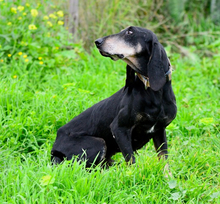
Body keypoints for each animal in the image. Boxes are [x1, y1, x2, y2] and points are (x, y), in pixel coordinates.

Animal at [50, 25, 176, 169]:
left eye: (130, 32)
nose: (97, 42)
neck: (153, 92)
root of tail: (54, 149)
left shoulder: (160, 130)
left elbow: (164, 159)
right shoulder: (119, 128)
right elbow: (131, 160)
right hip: (98, 143)